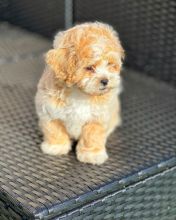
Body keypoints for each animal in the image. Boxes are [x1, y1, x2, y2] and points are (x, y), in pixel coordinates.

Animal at [35, 22, 124, 164]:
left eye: (110, 64)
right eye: (89, 68)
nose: (105, 80)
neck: (79, 93)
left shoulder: (97, 118)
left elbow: (92, 136)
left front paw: (92, 154)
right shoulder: (49, 112)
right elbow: (54, 130)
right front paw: (56, 147)